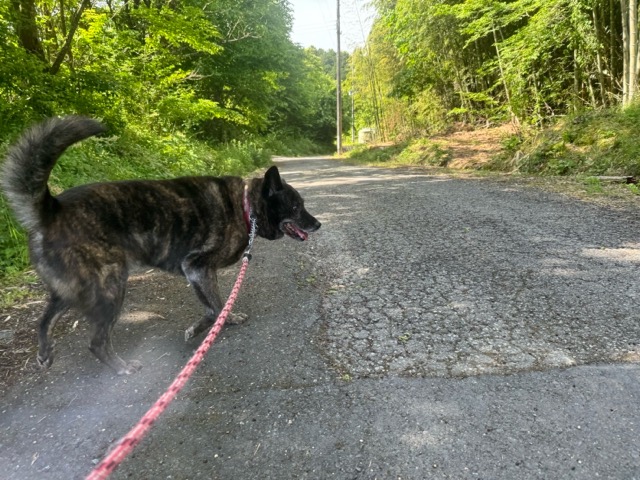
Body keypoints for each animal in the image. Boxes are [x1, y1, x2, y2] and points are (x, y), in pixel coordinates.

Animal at [1, 116, 321, 374]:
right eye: (296, 206)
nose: (318, 224)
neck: (245, 208)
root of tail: (52, 209)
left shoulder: (201, 273)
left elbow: (214, 307)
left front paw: (209, 325)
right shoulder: (196, 268)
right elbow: (216, 307)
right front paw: (208, 327)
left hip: (71, 290)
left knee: (44, 321)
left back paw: (45, 354)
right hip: (110, 287)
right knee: (96, 342)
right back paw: (121, 367)